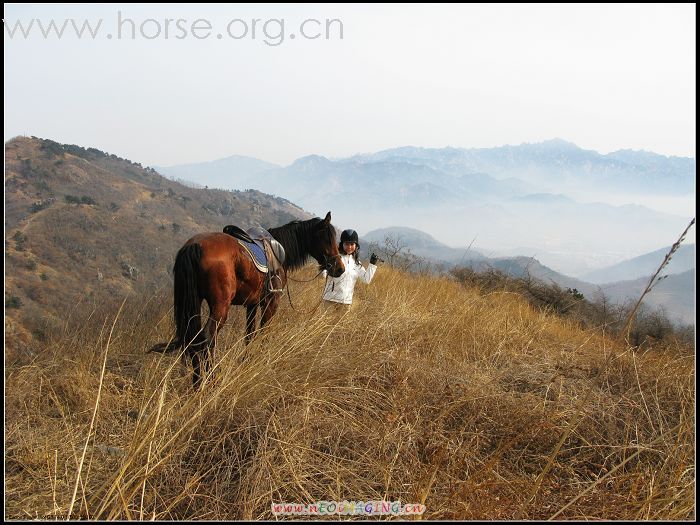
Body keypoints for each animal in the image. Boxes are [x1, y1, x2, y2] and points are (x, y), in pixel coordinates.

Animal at [150, 211, 344, 386]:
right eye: (327, 238)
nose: (339, 268)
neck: (280, 250)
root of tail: (194, 246)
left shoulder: (252, 304)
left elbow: (249, 335)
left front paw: (247, 360)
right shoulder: (270, 303)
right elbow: (263, 333)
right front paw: (262, 361)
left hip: (194, 304)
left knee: (194, 339)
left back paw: (197, 382)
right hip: (220, 307)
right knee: (207, 338)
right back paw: (210, 380)